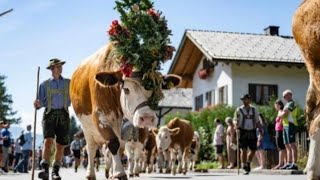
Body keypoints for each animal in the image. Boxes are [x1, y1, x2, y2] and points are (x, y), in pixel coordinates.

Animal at [70, 43, 180, 179]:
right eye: (127, 89)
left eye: (157, 89)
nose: (147, 118)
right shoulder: (100, 118)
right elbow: (113, 144)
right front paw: (119, 172)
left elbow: (123, 150)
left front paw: (117, 172)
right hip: (87, 127)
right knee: (91, 148)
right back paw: (91, 174)